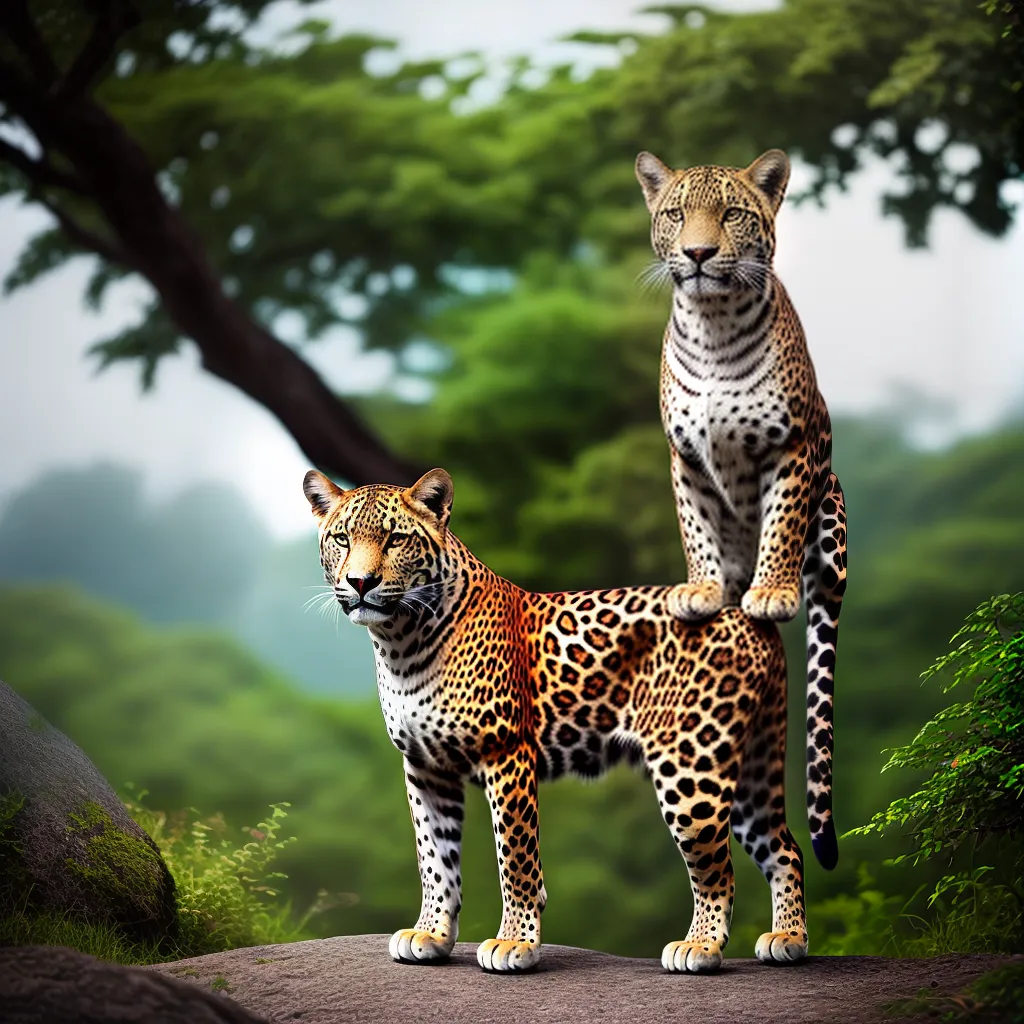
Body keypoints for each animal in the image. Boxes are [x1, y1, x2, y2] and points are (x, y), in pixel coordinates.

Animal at [303, 466, 836, 974]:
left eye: (395, 539)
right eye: (342, 539)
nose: (360, 583)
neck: (400, 643)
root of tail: (746, 612)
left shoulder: (506, 755)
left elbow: (515, 857)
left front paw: (515, 942)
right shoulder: (425, 767)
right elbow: (435, 859)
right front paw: (430, 935)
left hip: (691, 768)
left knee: (717, 871)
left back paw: (699, 947)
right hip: (745, 767)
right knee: (785, 847)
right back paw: (788, 940)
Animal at [636, 148, 847, 869]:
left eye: (730, 213)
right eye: (677, 214)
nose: (699, 253)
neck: (715, 325)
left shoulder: (791, 447)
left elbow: (779, 527)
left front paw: (771, 592)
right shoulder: (686, 458)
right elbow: (697, 531)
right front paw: (702, 591)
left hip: (833, 517)